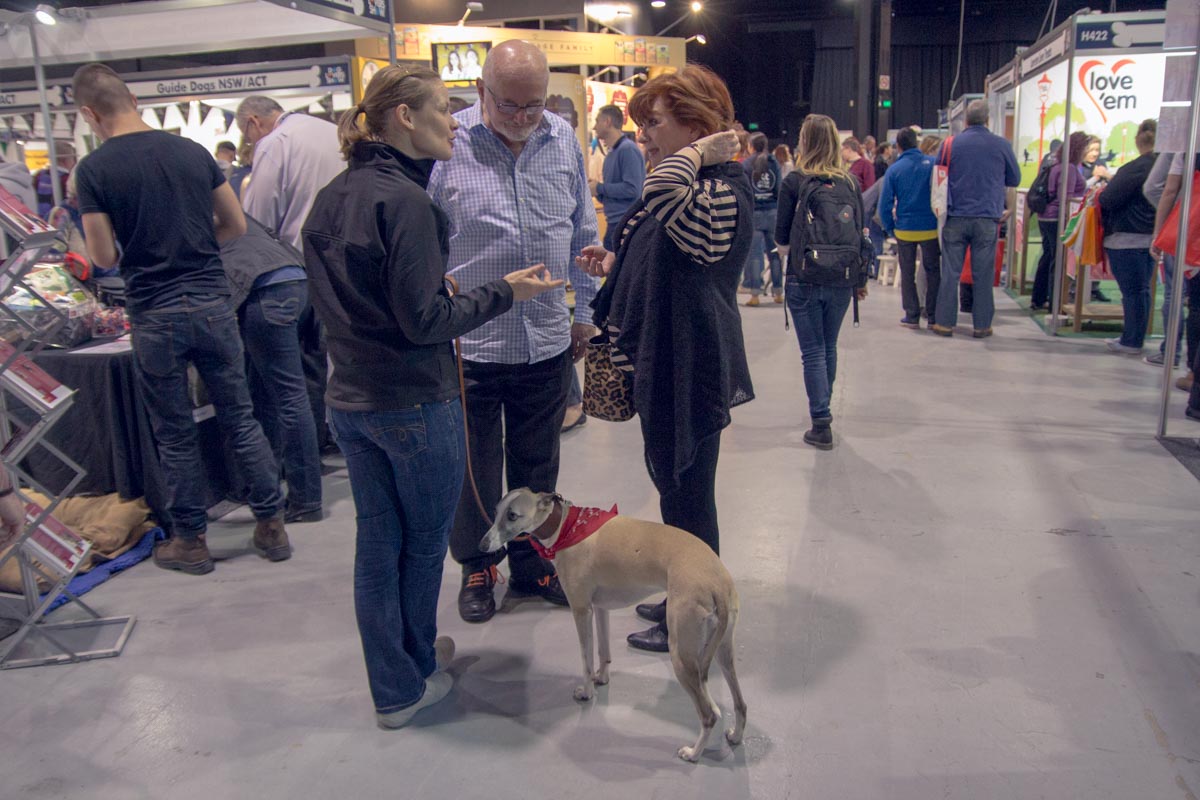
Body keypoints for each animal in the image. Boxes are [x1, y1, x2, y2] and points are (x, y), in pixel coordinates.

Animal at [480, 489, 744, 762]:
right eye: (496, 511)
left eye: (512, 516)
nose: (482, 546)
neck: (567, 527)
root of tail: (718, 584)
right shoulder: (600, 608)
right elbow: (603, 651)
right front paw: (602, 678)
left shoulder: (581, 610)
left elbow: (585, 660)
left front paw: (586, 693)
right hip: (723, 650)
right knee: (740, 704)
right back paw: (735, 736)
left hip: (682, 654)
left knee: (710, 714)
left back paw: (693, 753)